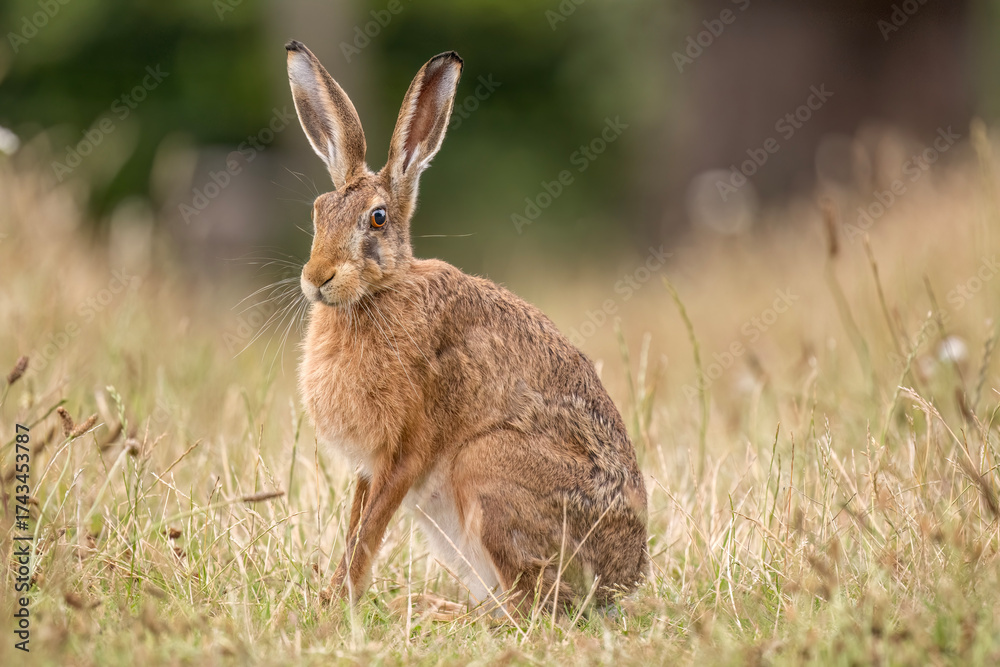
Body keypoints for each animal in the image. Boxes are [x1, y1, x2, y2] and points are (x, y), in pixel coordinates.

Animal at [286, 40, 648, 616]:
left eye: (378, 218)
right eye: (319, 212)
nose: (317, 278)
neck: (379, 293)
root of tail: (626, 578)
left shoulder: (405, 452)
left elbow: (368, 532)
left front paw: (337, 603)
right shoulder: (369, 468)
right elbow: (355, 527)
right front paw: (333, 597)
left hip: (486, 469)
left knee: (534, 605)